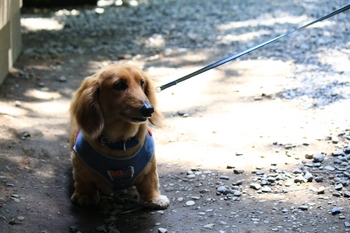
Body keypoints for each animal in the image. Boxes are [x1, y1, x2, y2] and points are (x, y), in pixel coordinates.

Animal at [68, 62, 170, 209]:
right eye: (119, 85)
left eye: (142, 82)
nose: (149, 109)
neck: (121, 143)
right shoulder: (79, 166)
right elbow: (84, 183)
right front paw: (85, 197)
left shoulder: (150, 166)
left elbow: (150, 183)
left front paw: (154, 199)